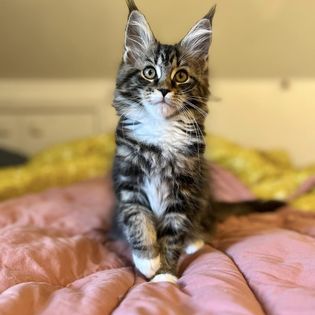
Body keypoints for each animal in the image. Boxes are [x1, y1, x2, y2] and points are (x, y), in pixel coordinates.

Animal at [111, 0, 284, 284]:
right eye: (149, 72)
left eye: (181, 76)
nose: (163, 90)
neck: (161, 131)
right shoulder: (129, 182)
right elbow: (138, 220)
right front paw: (147, 259)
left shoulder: (184, 190)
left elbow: (172, 235)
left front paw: (165, 273)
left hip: (202, 196)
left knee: (205, 225)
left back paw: (194, 241)